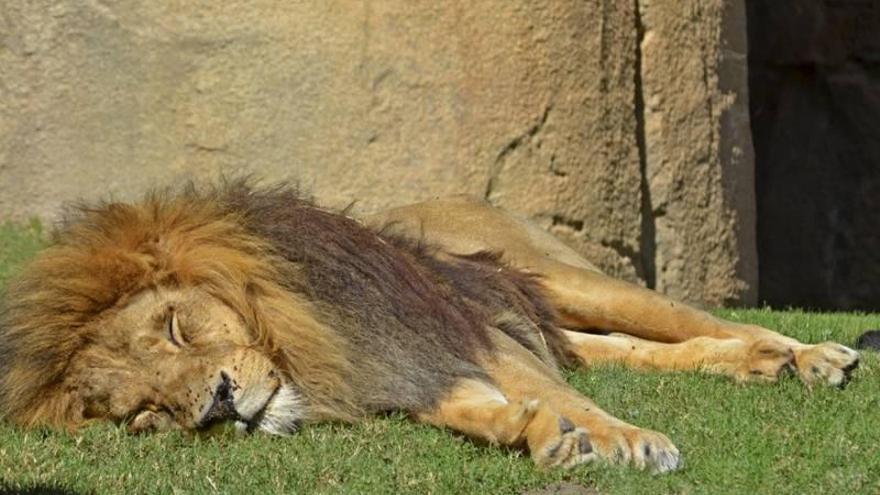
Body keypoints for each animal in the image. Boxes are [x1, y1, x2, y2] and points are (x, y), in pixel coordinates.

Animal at [0, 182, 860, 472]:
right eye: (145, 414)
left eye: (177, 327)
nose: (214, 404)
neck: (305, 346)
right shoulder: (415, 371)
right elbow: (487, 411)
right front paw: (535, 433)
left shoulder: (452, 333)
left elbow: (572, 399)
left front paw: (629, 441)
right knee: (648, 350)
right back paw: (766, 366)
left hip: (568, 279)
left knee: (700, 317)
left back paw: (817, 357)